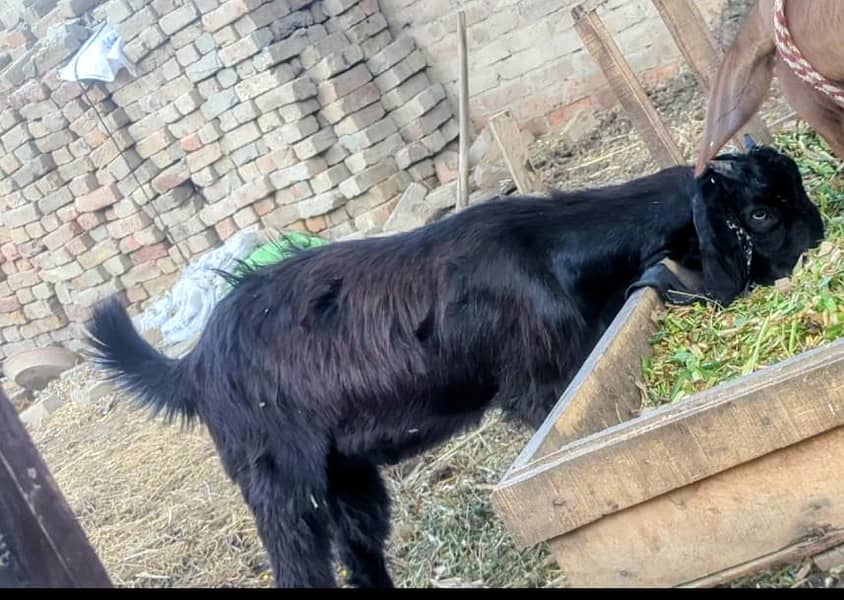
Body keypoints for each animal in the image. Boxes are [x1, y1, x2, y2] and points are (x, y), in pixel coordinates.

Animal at [85, 141, 824, 588]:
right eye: (760, 213)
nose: (819, 242)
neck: (548, 249)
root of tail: (194, 363)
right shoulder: (543, 383)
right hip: (281, 483)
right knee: (301, 564)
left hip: (347, 473)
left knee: (361, 553)